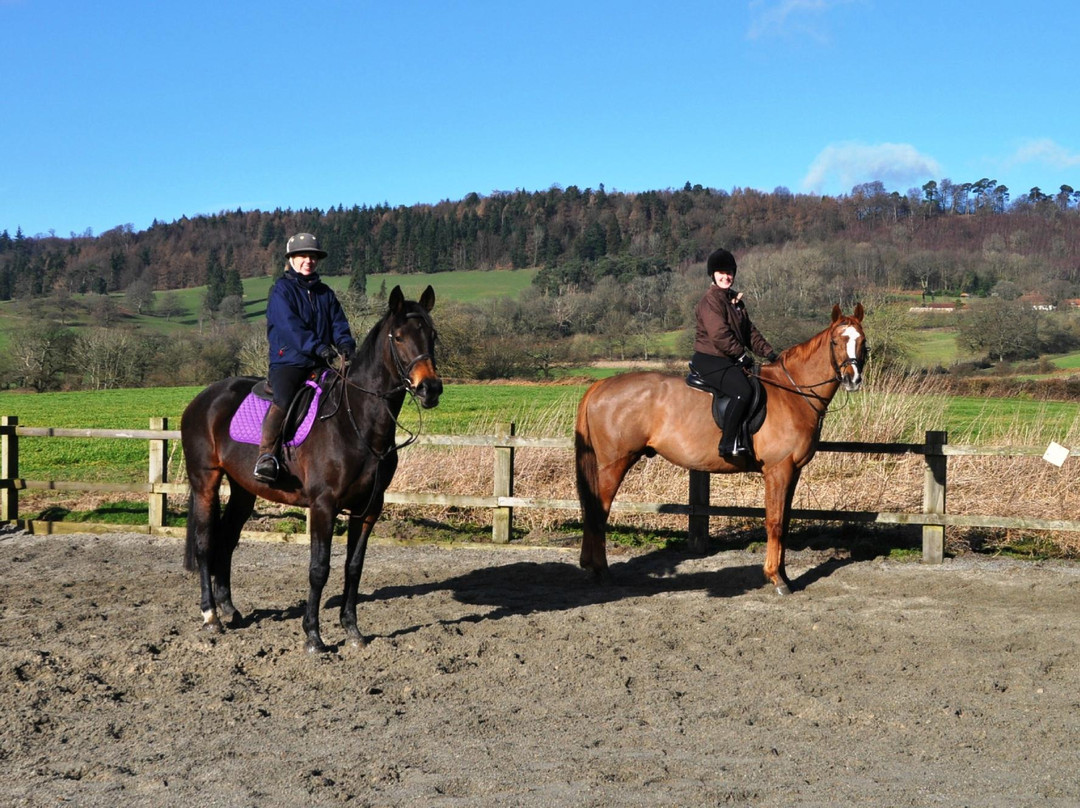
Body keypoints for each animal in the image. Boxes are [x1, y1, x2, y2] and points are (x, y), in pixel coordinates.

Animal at [181, 283, 442, 648]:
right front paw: (313, 636)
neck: (354, 421)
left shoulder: (369, 508)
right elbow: (319, 568)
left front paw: (352, 630)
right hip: (205, 480)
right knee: (206, 544)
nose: (430, 388)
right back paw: (211, 616)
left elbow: (353, 567)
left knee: (227, 540)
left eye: (432, 335)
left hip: (244, 488)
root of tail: (203, 398)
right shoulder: (323, 505)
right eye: (400, 337)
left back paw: (229, 609)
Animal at [574, 302, 868, 591]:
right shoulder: (778, 470)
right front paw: (775, 578)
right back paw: (601, 571)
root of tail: (601, 385)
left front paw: (784, 575)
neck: (792, 392)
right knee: (598, 510)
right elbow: (774, 522)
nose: (852, 379)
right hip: (614, 463)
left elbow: (784, 522)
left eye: (862, 341)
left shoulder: (793, 471)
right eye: (835, 341)